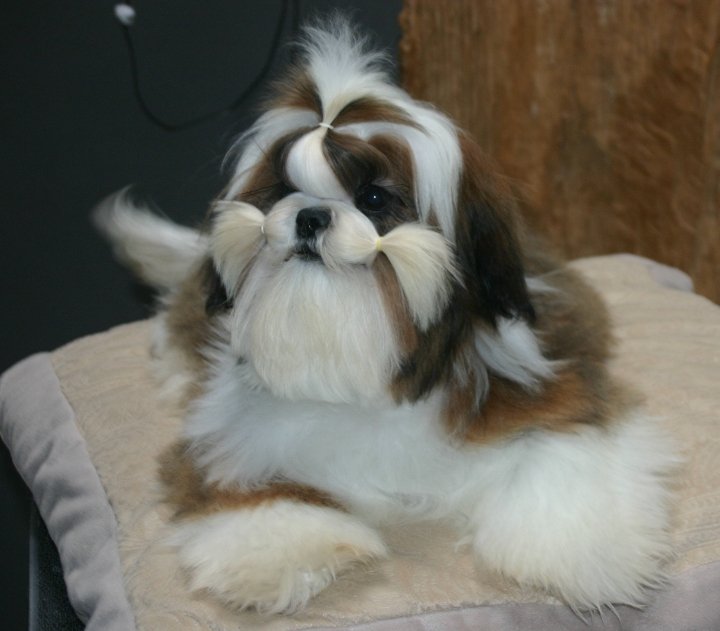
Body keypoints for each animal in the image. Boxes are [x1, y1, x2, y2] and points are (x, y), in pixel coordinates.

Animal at [96, 17, 677, 615]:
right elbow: (254, 491)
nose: (309, 216)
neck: (369, 364)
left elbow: (564, 450)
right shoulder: (225, 438)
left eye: (373, 198)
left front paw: (580, 553)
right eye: (282, 191)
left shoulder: (553, 390)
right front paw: (283, 553)